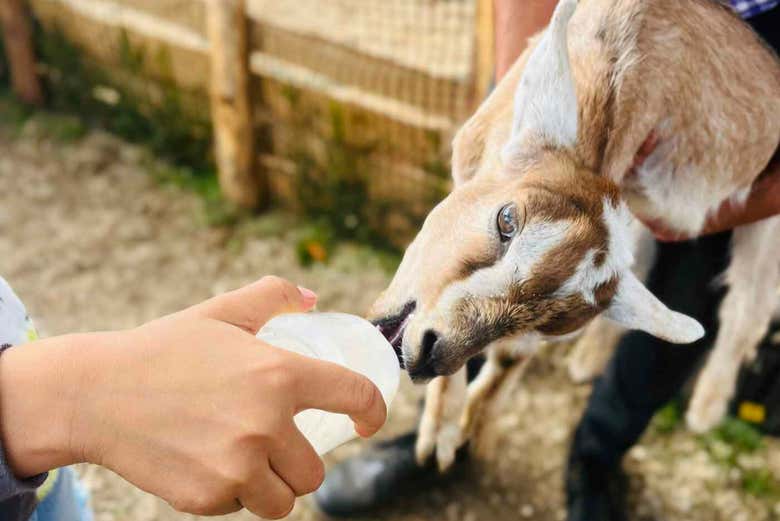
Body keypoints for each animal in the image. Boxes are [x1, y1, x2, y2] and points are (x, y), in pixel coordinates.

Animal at [372, 0, 780, 470]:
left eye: (554, 321)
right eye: (506, 220)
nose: (430, 354)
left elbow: (511, 357)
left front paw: (467, 431)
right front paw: (444, 430)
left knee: (746, 309)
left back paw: (705, 409)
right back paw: (588, 362)